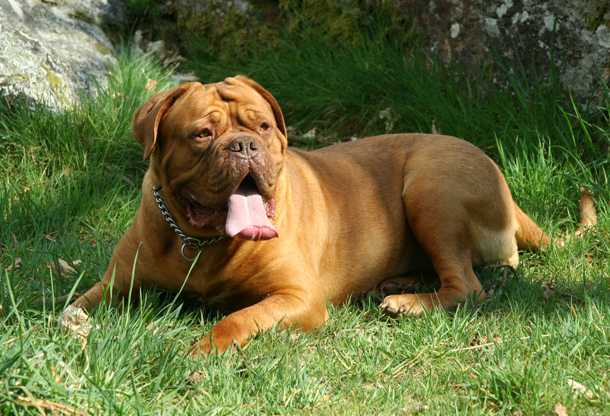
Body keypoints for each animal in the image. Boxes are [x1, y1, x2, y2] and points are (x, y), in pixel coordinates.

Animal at [70, 75, 592, 354]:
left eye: (263, 125)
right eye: (202, 134)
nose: (244, 146)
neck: (200, 241)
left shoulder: (297, 297)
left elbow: (237, 318)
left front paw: (206, 348)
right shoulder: (117, 282)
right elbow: (79, 302)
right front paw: (67, 326)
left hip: (431, 186)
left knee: (469, 286)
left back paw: (408, 302)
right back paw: (399, 283)